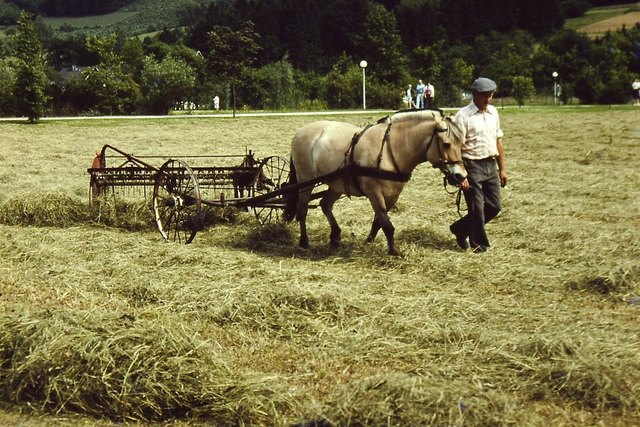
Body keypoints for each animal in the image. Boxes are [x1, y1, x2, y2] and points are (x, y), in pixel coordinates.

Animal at [284, 110, 464, 258]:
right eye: (446, 144)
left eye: (461, 144)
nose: (460, 176)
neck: (392, 149)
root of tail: (300, 132)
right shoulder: (374, 193)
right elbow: (387, 224)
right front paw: (394, 251)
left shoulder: (393, 195)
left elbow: (379, 222)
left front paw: (368, 242)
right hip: (305, 180)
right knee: (302, 209)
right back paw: (304, 242)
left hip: (337, 184)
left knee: (325, 204)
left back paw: (335, 236)